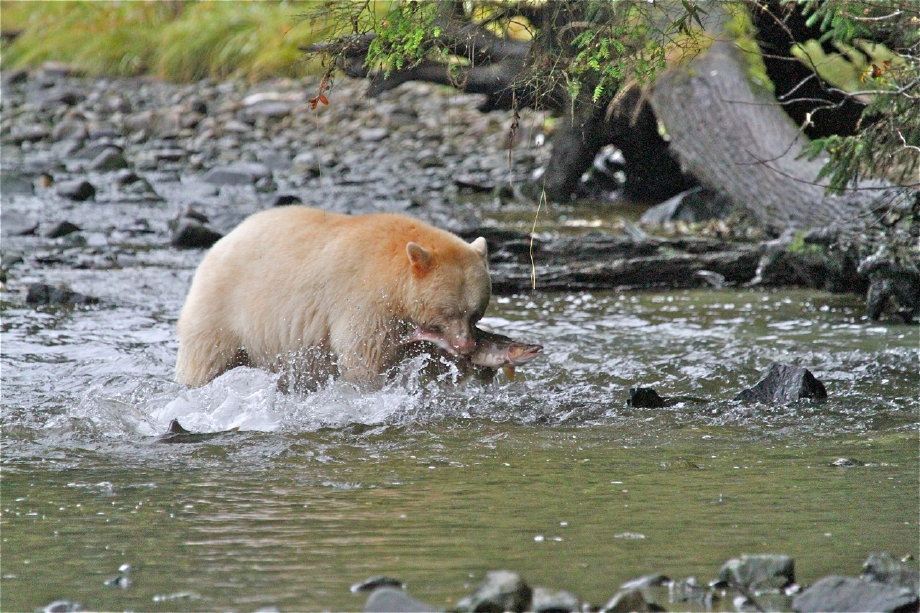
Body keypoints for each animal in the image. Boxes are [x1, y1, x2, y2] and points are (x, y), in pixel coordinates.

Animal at [172, 206, 488, 388]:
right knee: (205, 358)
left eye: (475, 312)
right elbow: (363, 353)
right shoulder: (367, 299)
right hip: (224, 305)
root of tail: (222, 242)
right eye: (449, 311)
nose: (466, 345)